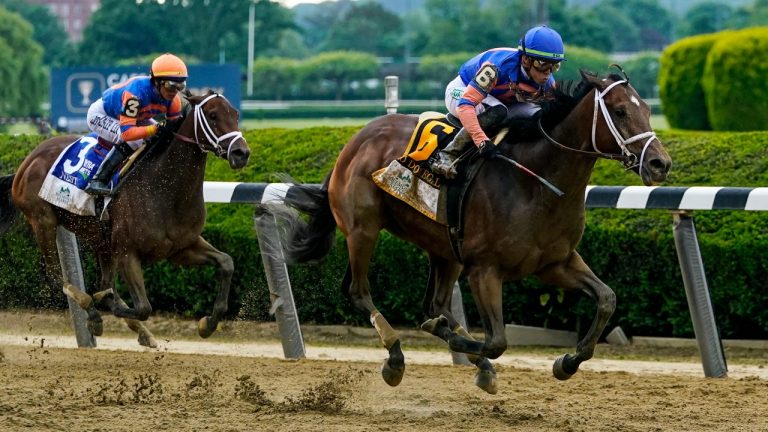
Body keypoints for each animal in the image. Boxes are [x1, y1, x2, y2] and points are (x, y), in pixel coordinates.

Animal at [0, 91, 250, 344]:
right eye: (213, 115)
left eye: (236, 114)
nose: (241, 153)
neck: (165, 188)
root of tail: (26, 162)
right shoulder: (128, 253)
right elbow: (143, 307)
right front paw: (103, 306)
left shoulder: (182, 248)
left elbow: (226, 263)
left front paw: (208, 323)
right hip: (44, 221)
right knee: (54, 274)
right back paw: (94, 313)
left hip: (99, 239)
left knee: (104, 281)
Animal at [278, 71, 672, 394]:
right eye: (620, 111)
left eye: (646, 109)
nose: (660, 163)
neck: (537, 182)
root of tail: (354, 141)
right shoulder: (485, 270)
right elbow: (496, 341)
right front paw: (459, 345)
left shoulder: (555, 263)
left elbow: (606, 298)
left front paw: (567, 363)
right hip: (363, 230)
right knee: (359, 292)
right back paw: (396, 358)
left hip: (443, 248)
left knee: (435, 305)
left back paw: (465, 353)